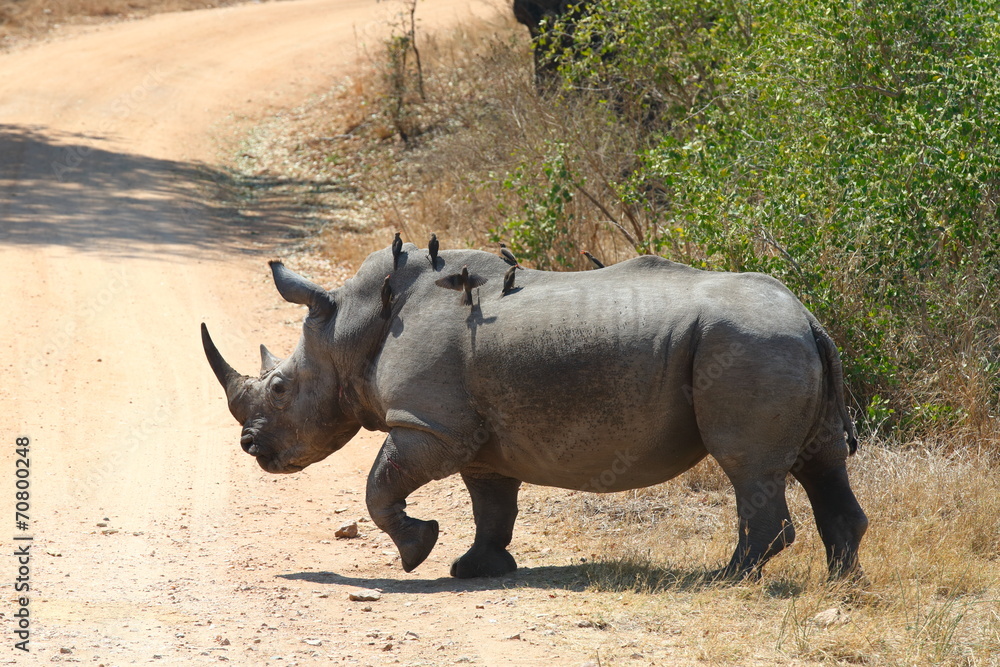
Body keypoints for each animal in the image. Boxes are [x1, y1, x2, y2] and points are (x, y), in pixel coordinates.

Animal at [202, 246, 867, 580]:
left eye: (280, 387)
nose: (250, 447)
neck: (351, 326)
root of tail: (808, 318)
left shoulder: (429, 423)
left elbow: (379, 484)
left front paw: (418, 552)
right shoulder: (475, 435)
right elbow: (491, 502)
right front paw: (475, 568)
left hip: (750, 346)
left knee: (748, 466)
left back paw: (727, 578)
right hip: (779, 343)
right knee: (822, 461)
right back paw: (842, 584)